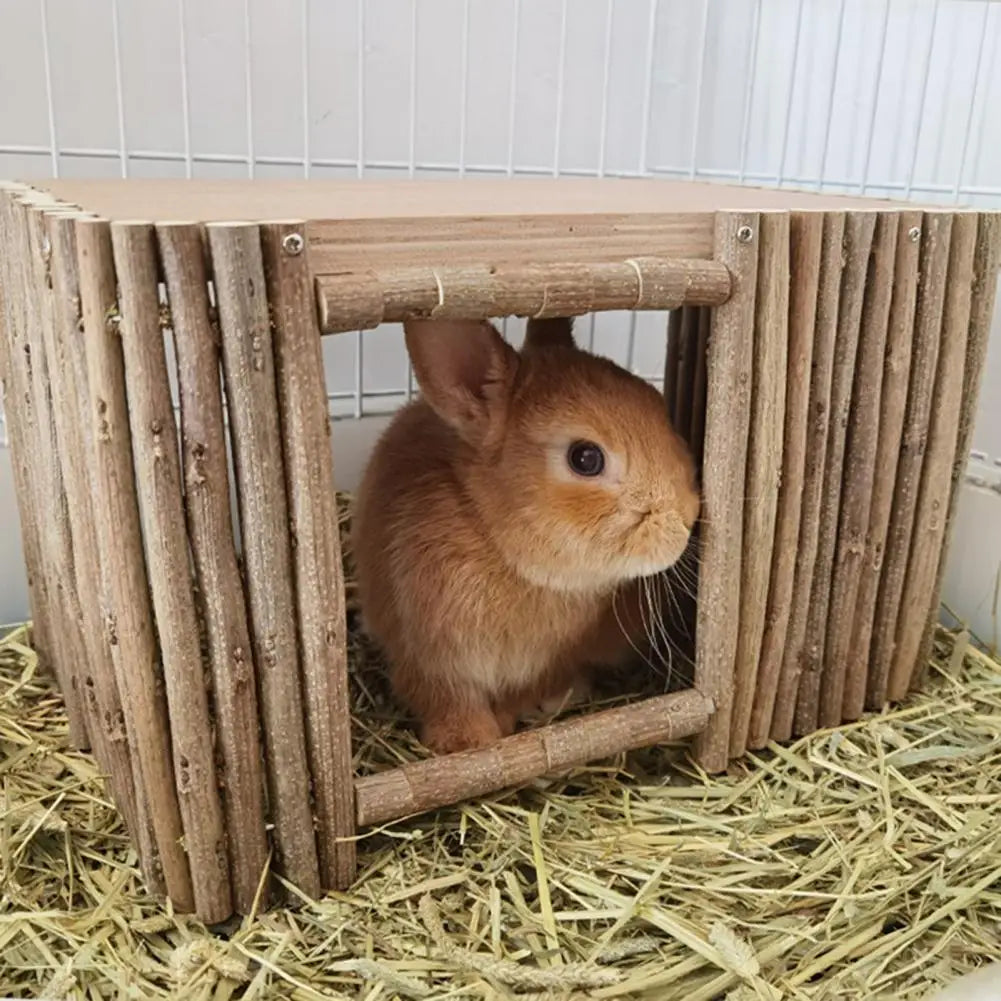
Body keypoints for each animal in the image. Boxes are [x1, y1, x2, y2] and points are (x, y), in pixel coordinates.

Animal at [351, 314, 700, 755]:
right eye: (586, 458)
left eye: (658, 402)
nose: (688, 517)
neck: (501, 549)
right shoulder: (427, 655)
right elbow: (446, 698)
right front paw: (467, 742)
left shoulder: (547, 663)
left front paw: (503, 723)